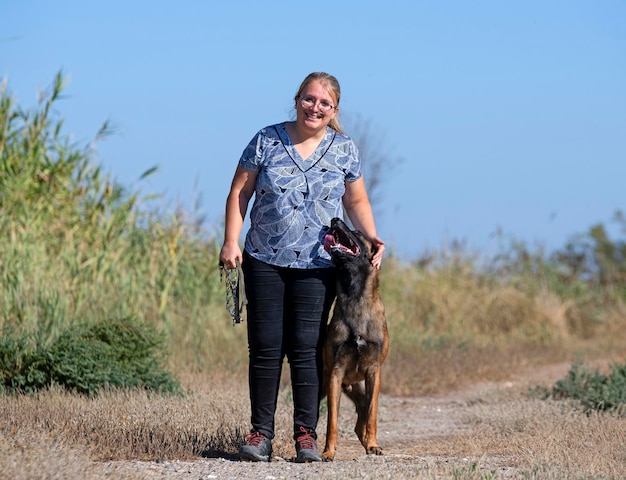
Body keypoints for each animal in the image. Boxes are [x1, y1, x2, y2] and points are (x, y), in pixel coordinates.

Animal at [320, 218, 388, 462]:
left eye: (358, 231)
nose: (333, 220)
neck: (355, 298)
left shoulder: (374, 373)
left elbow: (372, 415)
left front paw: (374, 445)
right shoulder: (336, 374)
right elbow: (332, 421)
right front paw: (328, 451)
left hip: (359, 389)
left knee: (363, 418)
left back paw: (369, 443)